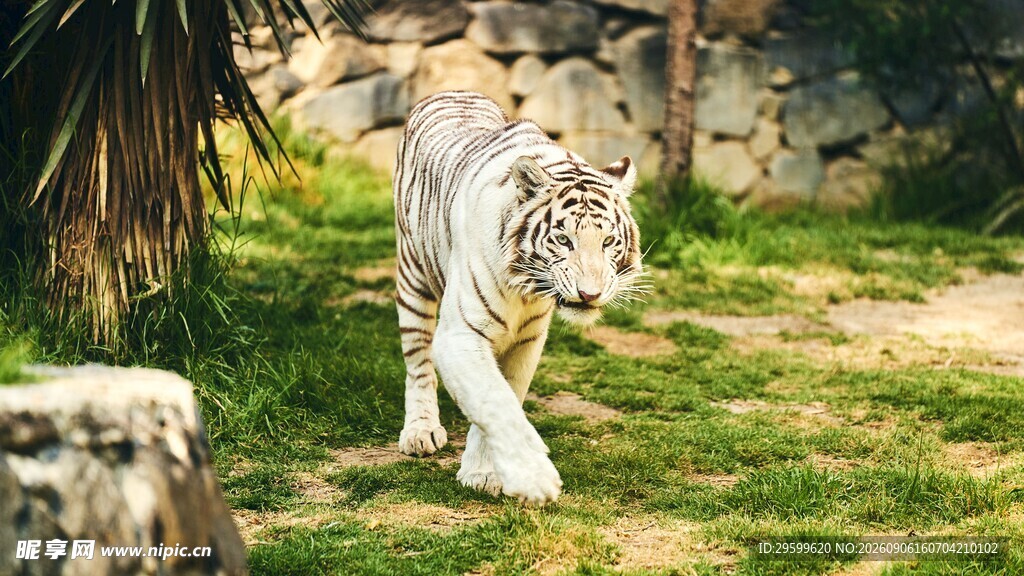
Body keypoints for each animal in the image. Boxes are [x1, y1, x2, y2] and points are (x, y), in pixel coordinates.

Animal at [392, 91, 645, 505]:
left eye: (608, 240)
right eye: (564, 240)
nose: (589, 294)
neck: (527, 290)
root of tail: (453, 90)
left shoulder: (528, 340)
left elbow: (504, 396)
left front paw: (482, 471)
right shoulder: (460, 335)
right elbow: (495, 402)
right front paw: (533, 479)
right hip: (413, 277)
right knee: (417, 363)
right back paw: (421, 431)